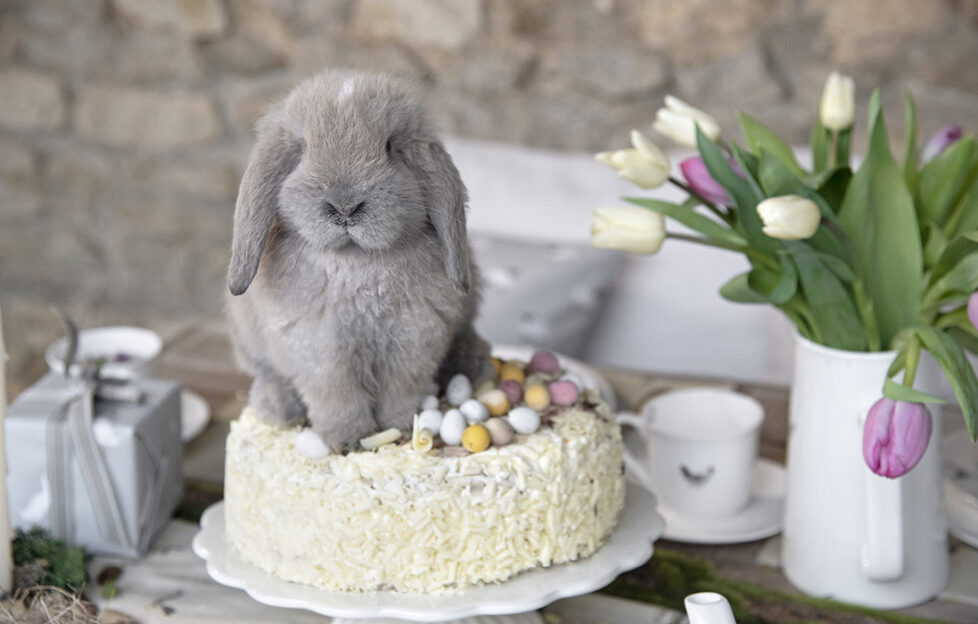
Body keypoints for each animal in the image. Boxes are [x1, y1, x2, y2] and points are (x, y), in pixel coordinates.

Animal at [227, 70, 488, 450]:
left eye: (390, 147)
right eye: (303, 149)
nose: (345, 207)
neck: (355, 261)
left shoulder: (414, 340)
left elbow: (399, 390)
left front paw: (397, 428)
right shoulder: (320, 352)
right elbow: (338, 397)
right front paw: (349, 440)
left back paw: (474, 363)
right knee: (267, 374)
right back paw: (278, 408)